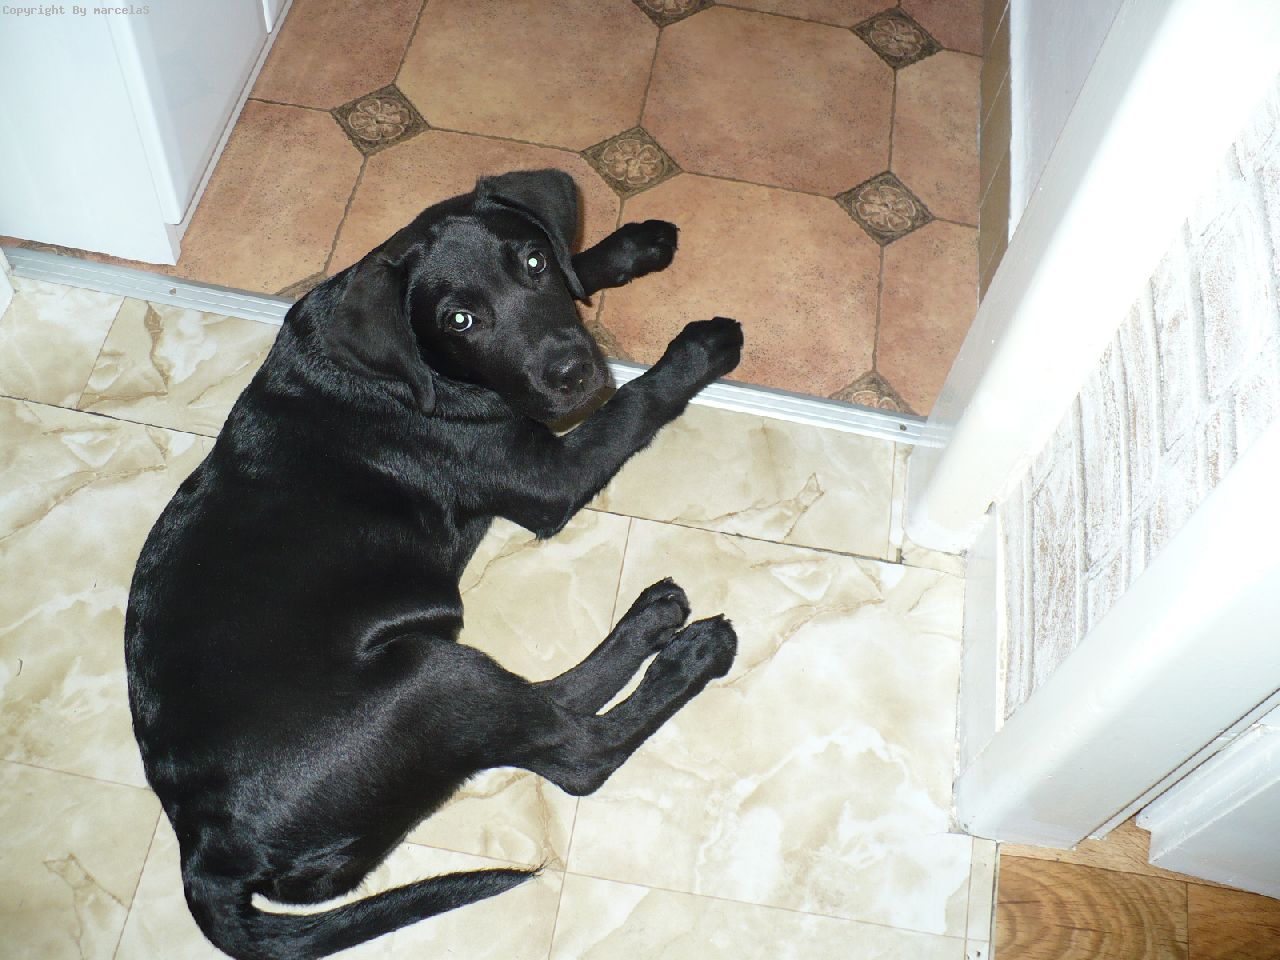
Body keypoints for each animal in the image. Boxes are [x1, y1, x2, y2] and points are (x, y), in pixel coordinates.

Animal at [125, 169, 744, 960]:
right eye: (459, 321)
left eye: (532, 265)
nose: (573, 373)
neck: (404, 372)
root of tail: (204, 850)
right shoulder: (549, 478)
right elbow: (635, 402)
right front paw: (697, 350)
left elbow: (577, 265)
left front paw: (629, 246)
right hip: (426, 677)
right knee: (576, 751)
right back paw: (688, 650)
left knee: (545, 710)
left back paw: (654, 620)